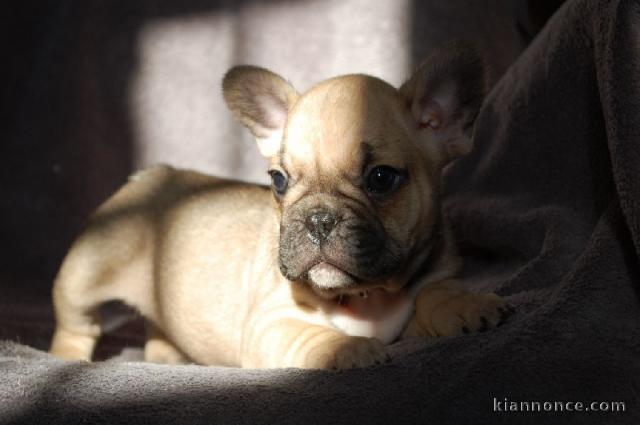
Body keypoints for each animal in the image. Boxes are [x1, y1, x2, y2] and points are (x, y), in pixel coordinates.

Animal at [48, 41, 510, 370]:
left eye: (381, 178)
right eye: (279, 181)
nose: (318, 219)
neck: (367, 297)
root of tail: (152, 176)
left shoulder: (435, 277)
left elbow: (437, 292)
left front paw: (467, 306)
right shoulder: (270, 326)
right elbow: (310, 337)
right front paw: (347, 350)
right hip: (83, 276)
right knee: (76, 323)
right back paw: (68, 358)